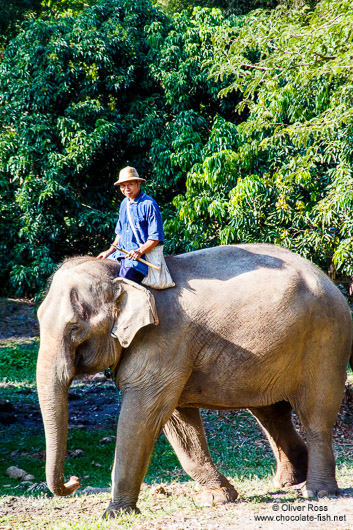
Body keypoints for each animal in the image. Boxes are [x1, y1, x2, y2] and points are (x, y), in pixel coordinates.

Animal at [37, 243, 350, 516]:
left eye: (74, 328)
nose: (75, 480)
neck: (122, 277)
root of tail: (330, 281)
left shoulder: (164, 341)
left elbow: (144, 413)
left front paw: (114, 514)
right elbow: (178, 422)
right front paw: (218, 498)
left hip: (327, 339)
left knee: (315, 415)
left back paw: (318, 492)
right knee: (270, 412)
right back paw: (288, 481)